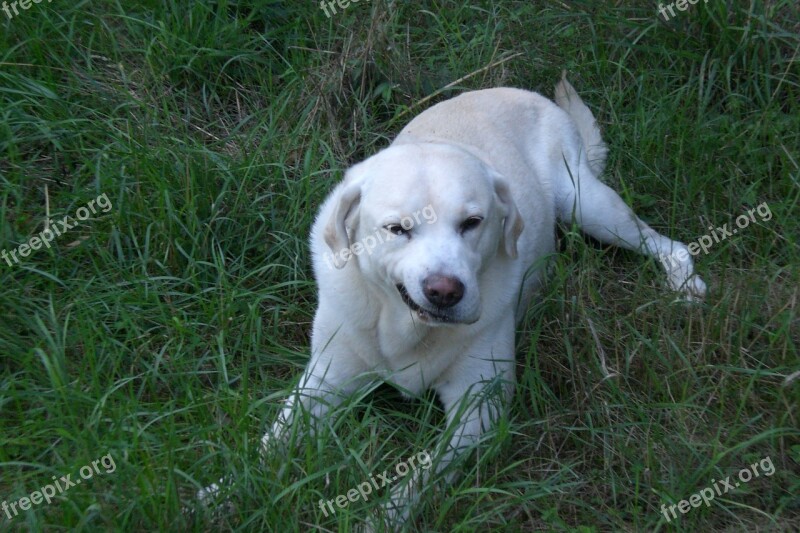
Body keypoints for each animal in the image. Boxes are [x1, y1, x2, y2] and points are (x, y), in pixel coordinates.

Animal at [202, 74, 708, 524]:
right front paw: (218, 495)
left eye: (472, 223)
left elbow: (418, 479)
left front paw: (379, 518)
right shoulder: (322, 383)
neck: (408, 330)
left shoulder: (479, 409)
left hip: (586, 204)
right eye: (397, 228)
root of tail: (521, 92)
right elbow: (271, 444)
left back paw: (685, 285)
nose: (445, 291)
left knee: (668, 244)